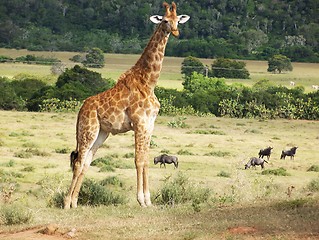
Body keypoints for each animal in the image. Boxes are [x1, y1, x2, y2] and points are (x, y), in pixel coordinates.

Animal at [64, 1, 190, 208]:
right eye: (164, 20)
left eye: (177, 19)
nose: (176, 31)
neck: (148, 81)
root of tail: (81, 109)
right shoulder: (139, 123)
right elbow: (138, 160)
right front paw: (141, 200)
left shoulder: (149, 125)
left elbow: (146, 159)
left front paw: (149, 200)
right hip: (88, 130)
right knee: (78, 160)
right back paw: (66, 203)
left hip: (101, 133)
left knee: (87, 161)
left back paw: (75, 203)